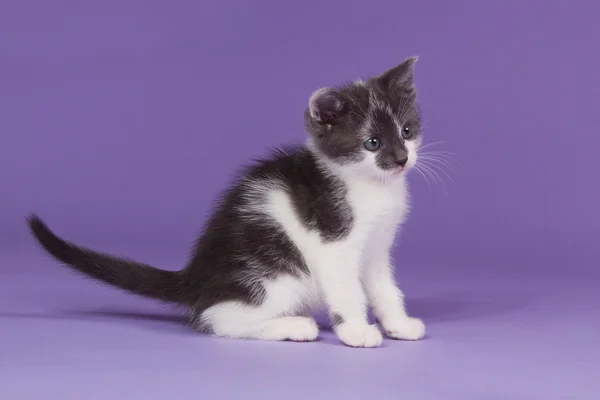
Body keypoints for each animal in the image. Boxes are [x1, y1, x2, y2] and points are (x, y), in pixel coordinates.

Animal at [27, 56, 426, 346]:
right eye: (371, 143)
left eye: (407, 131)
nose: (401, 159)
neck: (372, 187)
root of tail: (195, 277)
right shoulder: (333, 245)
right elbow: (347, 290)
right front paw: (356, 331)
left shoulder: (376, 248)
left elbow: (384, 288)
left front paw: (399, 324)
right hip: (277, 273)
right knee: (218, 318)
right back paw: (293, 326)